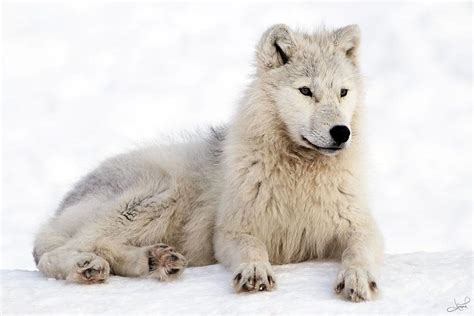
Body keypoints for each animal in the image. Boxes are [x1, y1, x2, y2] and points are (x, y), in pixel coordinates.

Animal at [33, 24, 384, 302]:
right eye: (306, 91)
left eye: (343, 92)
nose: (341, 132)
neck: (300, 172)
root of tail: (62, 206)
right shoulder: (232, 231)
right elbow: (251, 249)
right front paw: (254, 271)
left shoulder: (360, 227)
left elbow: (358, 252)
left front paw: (357, 279)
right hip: (159, 194)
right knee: (56, 253)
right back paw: (88, 267)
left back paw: (156, 259)